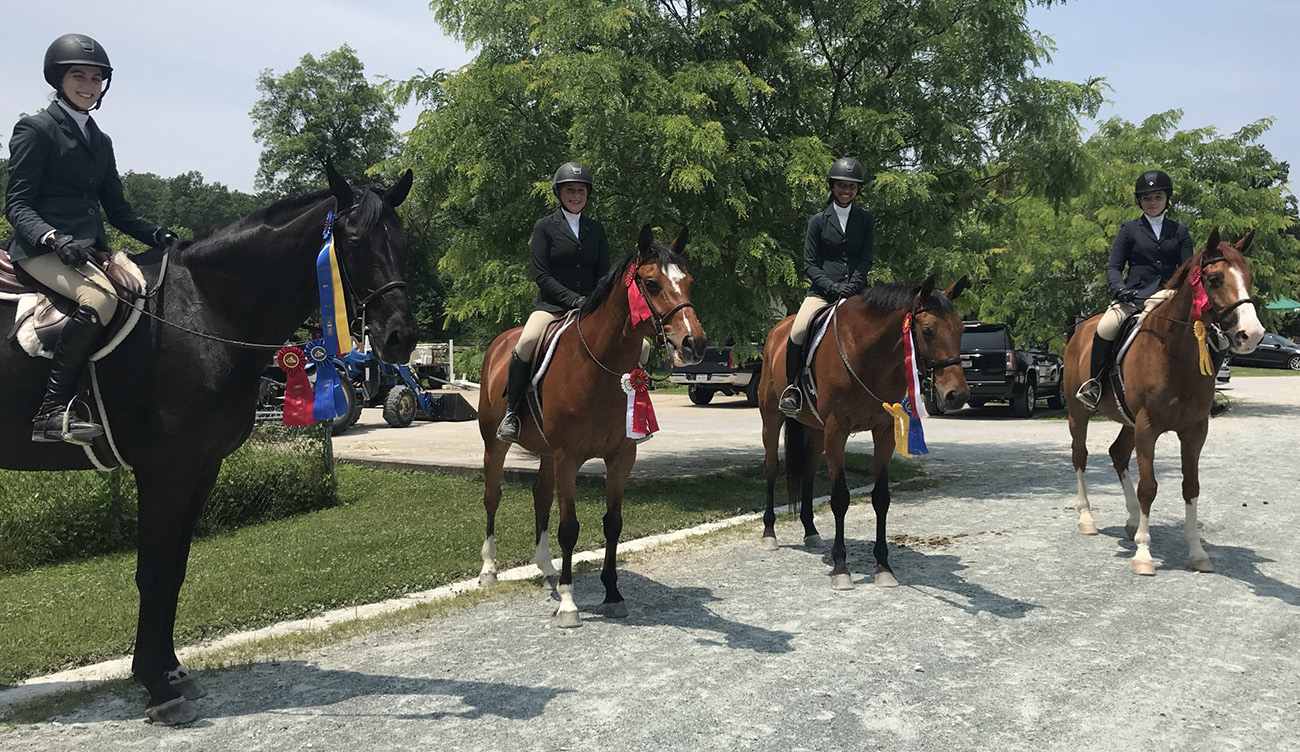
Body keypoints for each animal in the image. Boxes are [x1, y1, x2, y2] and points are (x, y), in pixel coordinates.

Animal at [0, 163, 418, 718]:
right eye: (351, 242)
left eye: (403, 240)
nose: (400, 337)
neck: (202, 308)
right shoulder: (165, 471)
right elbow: (153, 571)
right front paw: (155, 686)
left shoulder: (202, 467)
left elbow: (175, 569)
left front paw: (171, 670)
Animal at [478, 223, 707, 627]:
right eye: (651, 284)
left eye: (689, 282)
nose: (694, 343)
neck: (598, 366)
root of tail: (501, 343)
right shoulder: (568, 457)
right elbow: (570, 528)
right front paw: (569, 604)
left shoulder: (621, 456)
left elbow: (612, 522)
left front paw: (612, 593)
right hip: (496, 442)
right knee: (493, 495)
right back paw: (489, 569)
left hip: (546, 452)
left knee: (540, 496)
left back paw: (547, 568)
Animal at [759, 275, 972, 585]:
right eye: (928, 330)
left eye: (961, 329)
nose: (957, 396)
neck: (868, 354)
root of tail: (777, 331)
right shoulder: (837, 430)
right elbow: (839, 498)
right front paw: (841, 568)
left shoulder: (883, 431)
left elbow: (881, 498)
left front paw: (883, 567)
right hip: (772, 419)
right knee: (772, 467)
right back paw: (769, 533)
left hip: (817, 430)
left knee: (808, 469)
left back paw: (811, 531)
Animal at [1060, 225, 1263, 569]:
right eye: (1215, 279)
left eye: (1248, 277)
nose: (1253, 335)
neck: (1174, 353)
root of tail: (1080, 330)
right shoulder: (1148, 427)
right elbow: (1149, 487)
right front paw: (1143, 554)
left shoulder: (1194, 430)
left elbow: (1191, 486)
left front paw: (1197, 552)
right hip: (1080, 413)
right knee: (1080, 456)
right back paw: (1087, 518)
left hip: (1127, 421)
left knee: (1117, 453)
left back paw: (1131, 521)